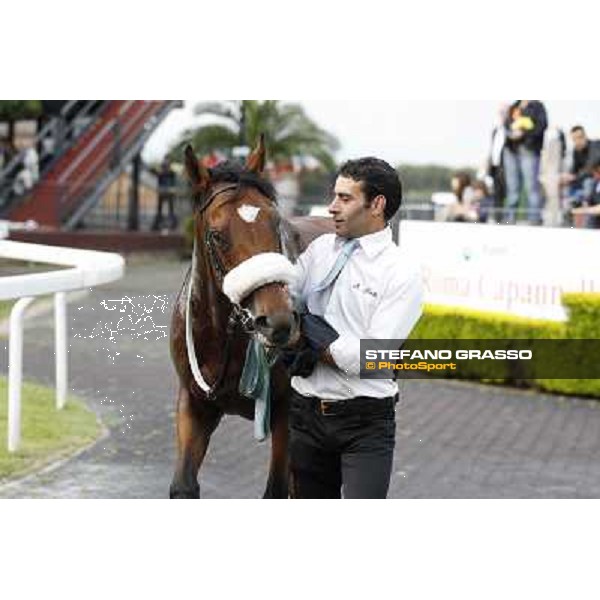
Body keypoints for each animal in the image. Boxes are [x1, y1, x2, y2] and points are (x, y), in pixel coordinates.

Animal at [168, 138, 332, 500]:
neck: (224, 334)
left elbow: (278, 489)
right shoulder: (194, 402)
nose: (278, 321)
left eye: (275, 223)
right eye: (217, 235)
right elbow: (183, 486)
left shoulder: (286, 410)